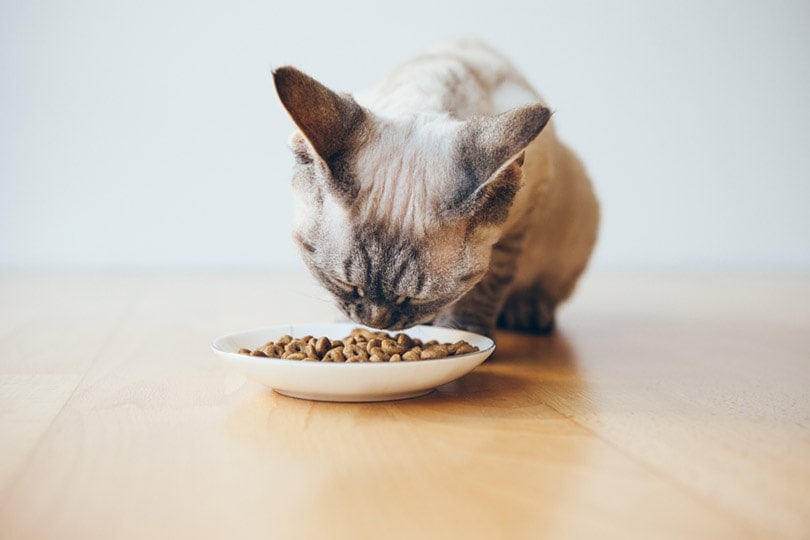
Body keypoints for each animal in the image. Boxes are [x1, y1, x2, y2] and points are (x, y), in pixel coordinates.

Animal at [272, 39, 592, 338]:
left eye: (414, 299)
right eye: (345, 284)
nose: (376, 323)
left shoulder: (519, 224)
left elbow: (485, 289)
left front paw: (467, 332)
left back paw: (527, 313)